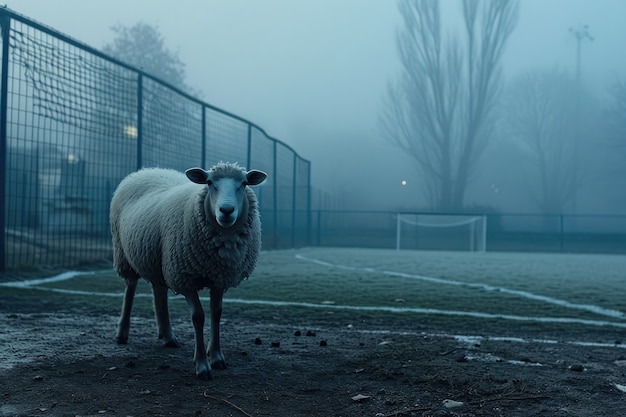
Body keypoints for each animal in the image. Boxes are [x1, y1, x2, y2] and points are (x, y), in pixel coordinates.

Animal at [109, 162, 266, 380]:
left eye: (243, 183)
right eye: (209, 183)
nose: (226, 210)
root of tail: (148, 169)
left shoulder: (219, 278)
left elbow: (217, 313)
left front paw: (216, 357)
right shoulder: (185, 278)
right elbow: (198, 317)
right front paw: (202, 365)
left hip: (159, 259)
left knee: (159, 290)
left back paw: (167, 336)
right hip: (125, 254)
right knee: (130, 288)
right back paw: (122, 333)